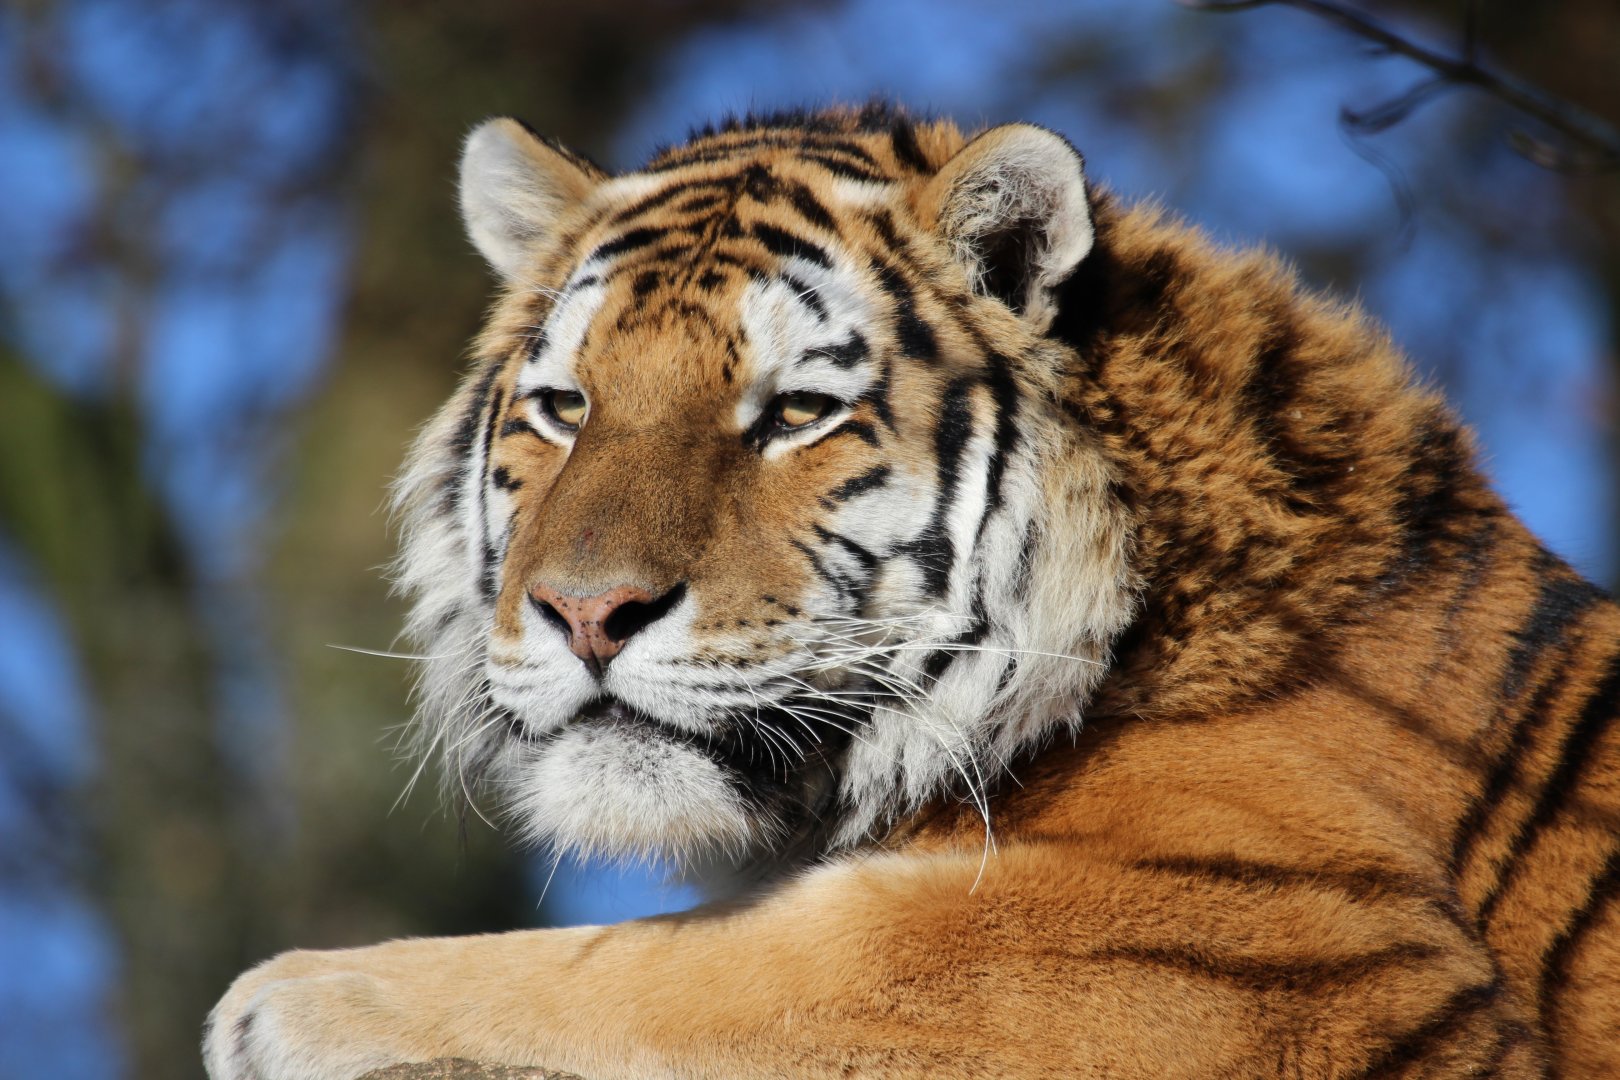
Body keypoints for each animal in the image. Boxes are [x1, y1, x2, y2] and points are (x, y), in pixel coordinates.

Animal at [204, 103, 1620, 1079]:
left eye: (795, 414)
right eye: (565, 407)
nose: (585, 613)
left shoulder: (1248, 945)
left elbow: (681, 968)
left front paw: (283, 1003)